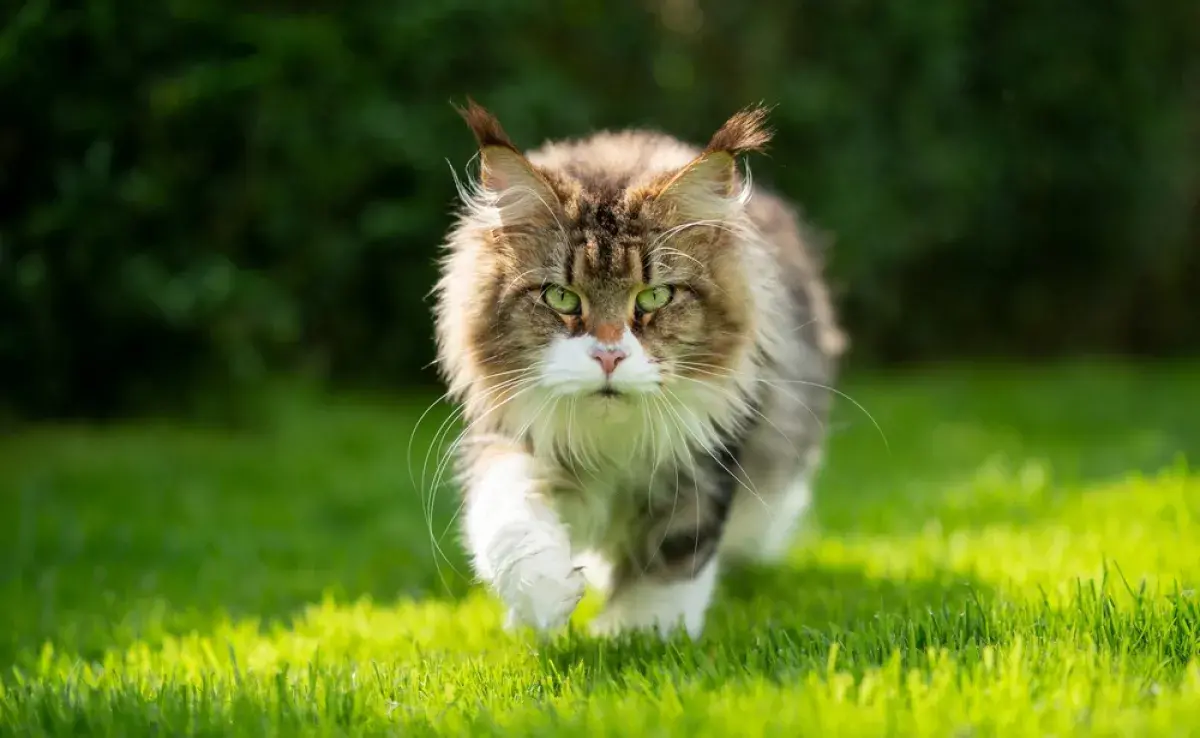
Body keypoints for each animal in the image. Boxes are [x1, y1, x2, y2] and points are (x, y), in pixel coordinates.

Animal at [432, 99, 844, 643]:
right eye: (561, 297)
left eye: (654, 297)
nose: (609, 356)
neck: (611, 445)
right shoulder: (509, 434)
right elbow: (507, 514)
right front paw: (545, 597)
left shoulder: (703, 460)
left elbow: (674, 556)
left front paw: (638, 632)